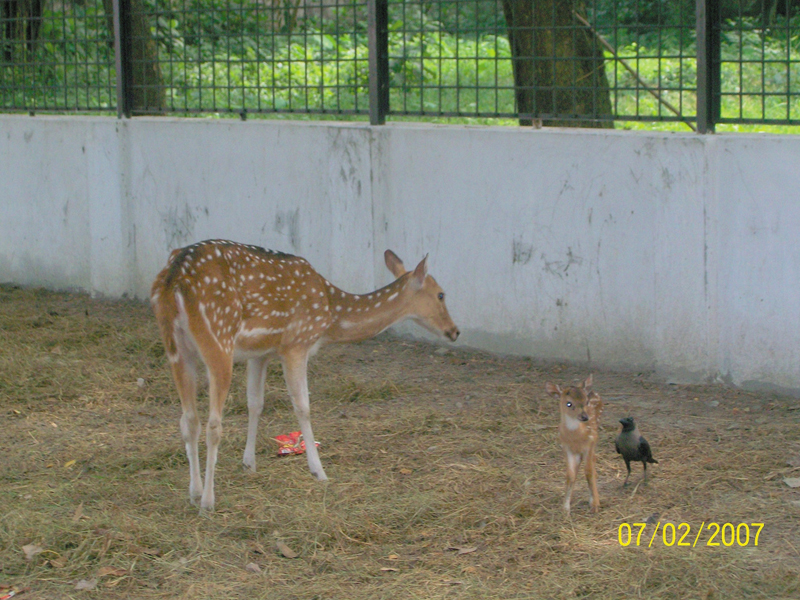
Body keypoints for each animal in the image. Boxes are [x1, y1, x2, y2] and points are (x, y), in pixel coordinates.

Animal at [151, 239, 460, 510]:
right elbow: (303, 407)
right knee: (213, 424)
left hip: (176, 347)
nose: (455, 331)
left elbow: (255, 403)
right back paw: (207, 501)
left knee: (188, 420)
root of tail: (173, 278)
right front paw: (319, 472)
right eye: (441, 294)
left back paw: (194, 493)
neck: (331, 316)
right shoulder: (296, 344)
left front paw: (249, 464)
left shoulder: (260, 352)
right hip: (218, 338)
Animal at [548, 378, 604, 512]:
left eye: (586, 401)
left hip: (594, 439)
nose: (584, 417)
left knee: (592, 463)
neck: (575, 437)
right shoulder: (566, 447)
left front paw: (595, 505)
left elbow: (589, 472)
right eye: (569, 403)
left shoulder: (590, 443)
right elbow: (570, 475)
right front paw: (565, 508)